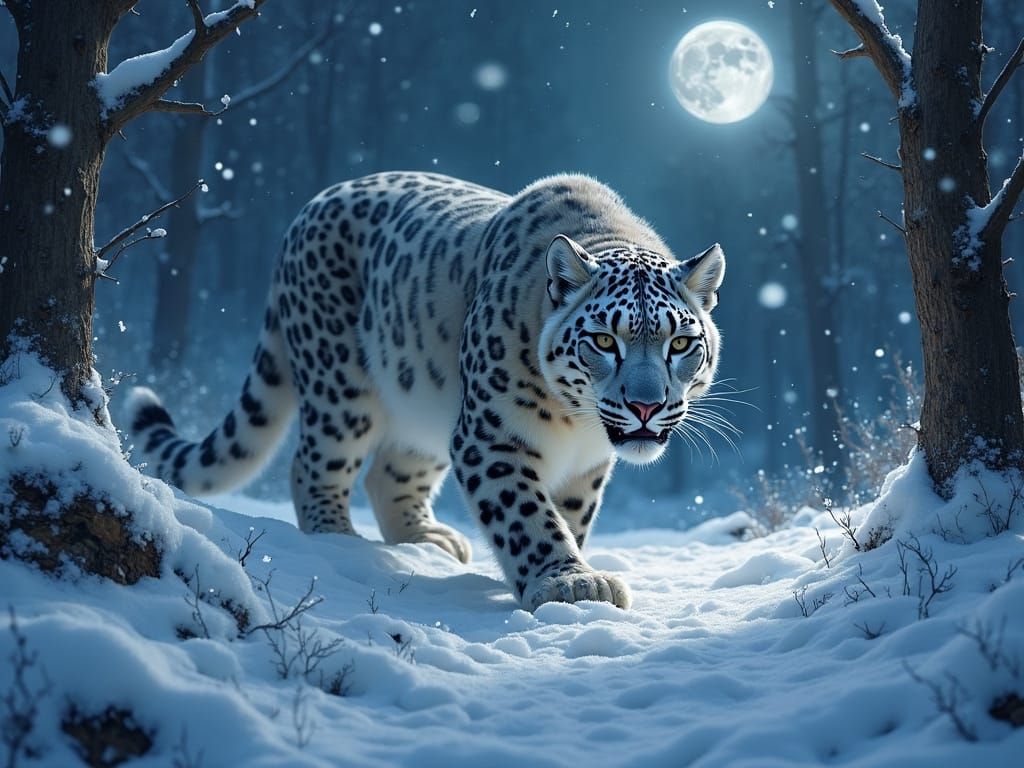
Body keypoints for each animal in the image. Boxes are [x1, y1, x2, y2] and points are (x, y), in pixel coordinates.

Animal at [126, 171, 726, 611]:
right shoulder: (491, 436)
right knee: (315, 463)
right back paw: (338, 540)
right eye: (604, 339)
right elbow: (526, 513)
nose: (645, 405)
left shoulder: (588, 466)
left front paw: (566, 567)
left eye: (679, 342)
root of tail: (310, 207)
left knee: (388, 473)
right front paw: (568, 582)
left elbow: (570, 515)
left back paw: (427, 539)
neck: (574, 426)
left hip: (424, 406)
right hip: (341, 389)